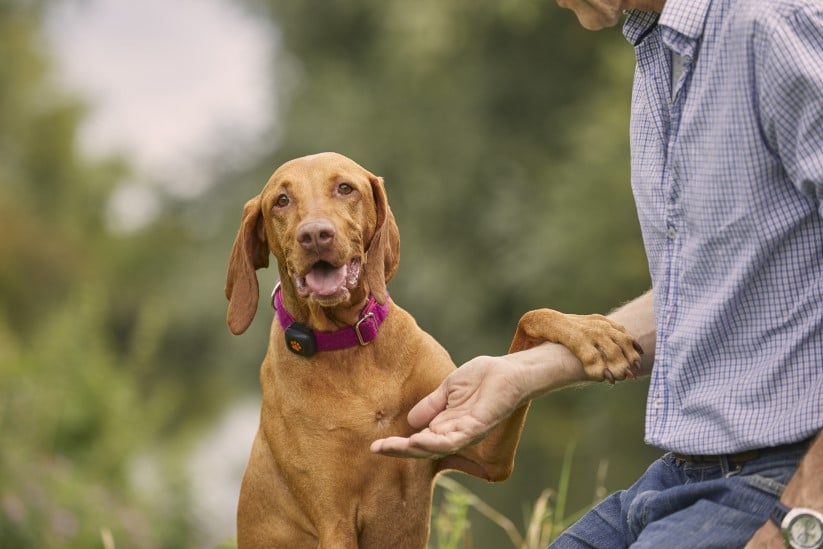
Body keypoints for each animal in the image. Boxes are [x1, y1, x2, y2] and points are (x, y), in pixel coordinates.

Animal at [227, 151, 644, 548]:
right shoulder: (335, 522)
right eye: (281, 200)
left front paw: (592, 333)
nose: (315, 235)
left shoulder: (487, 455)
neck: (350, 347)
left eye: (345, 188)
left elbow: (528, 317)